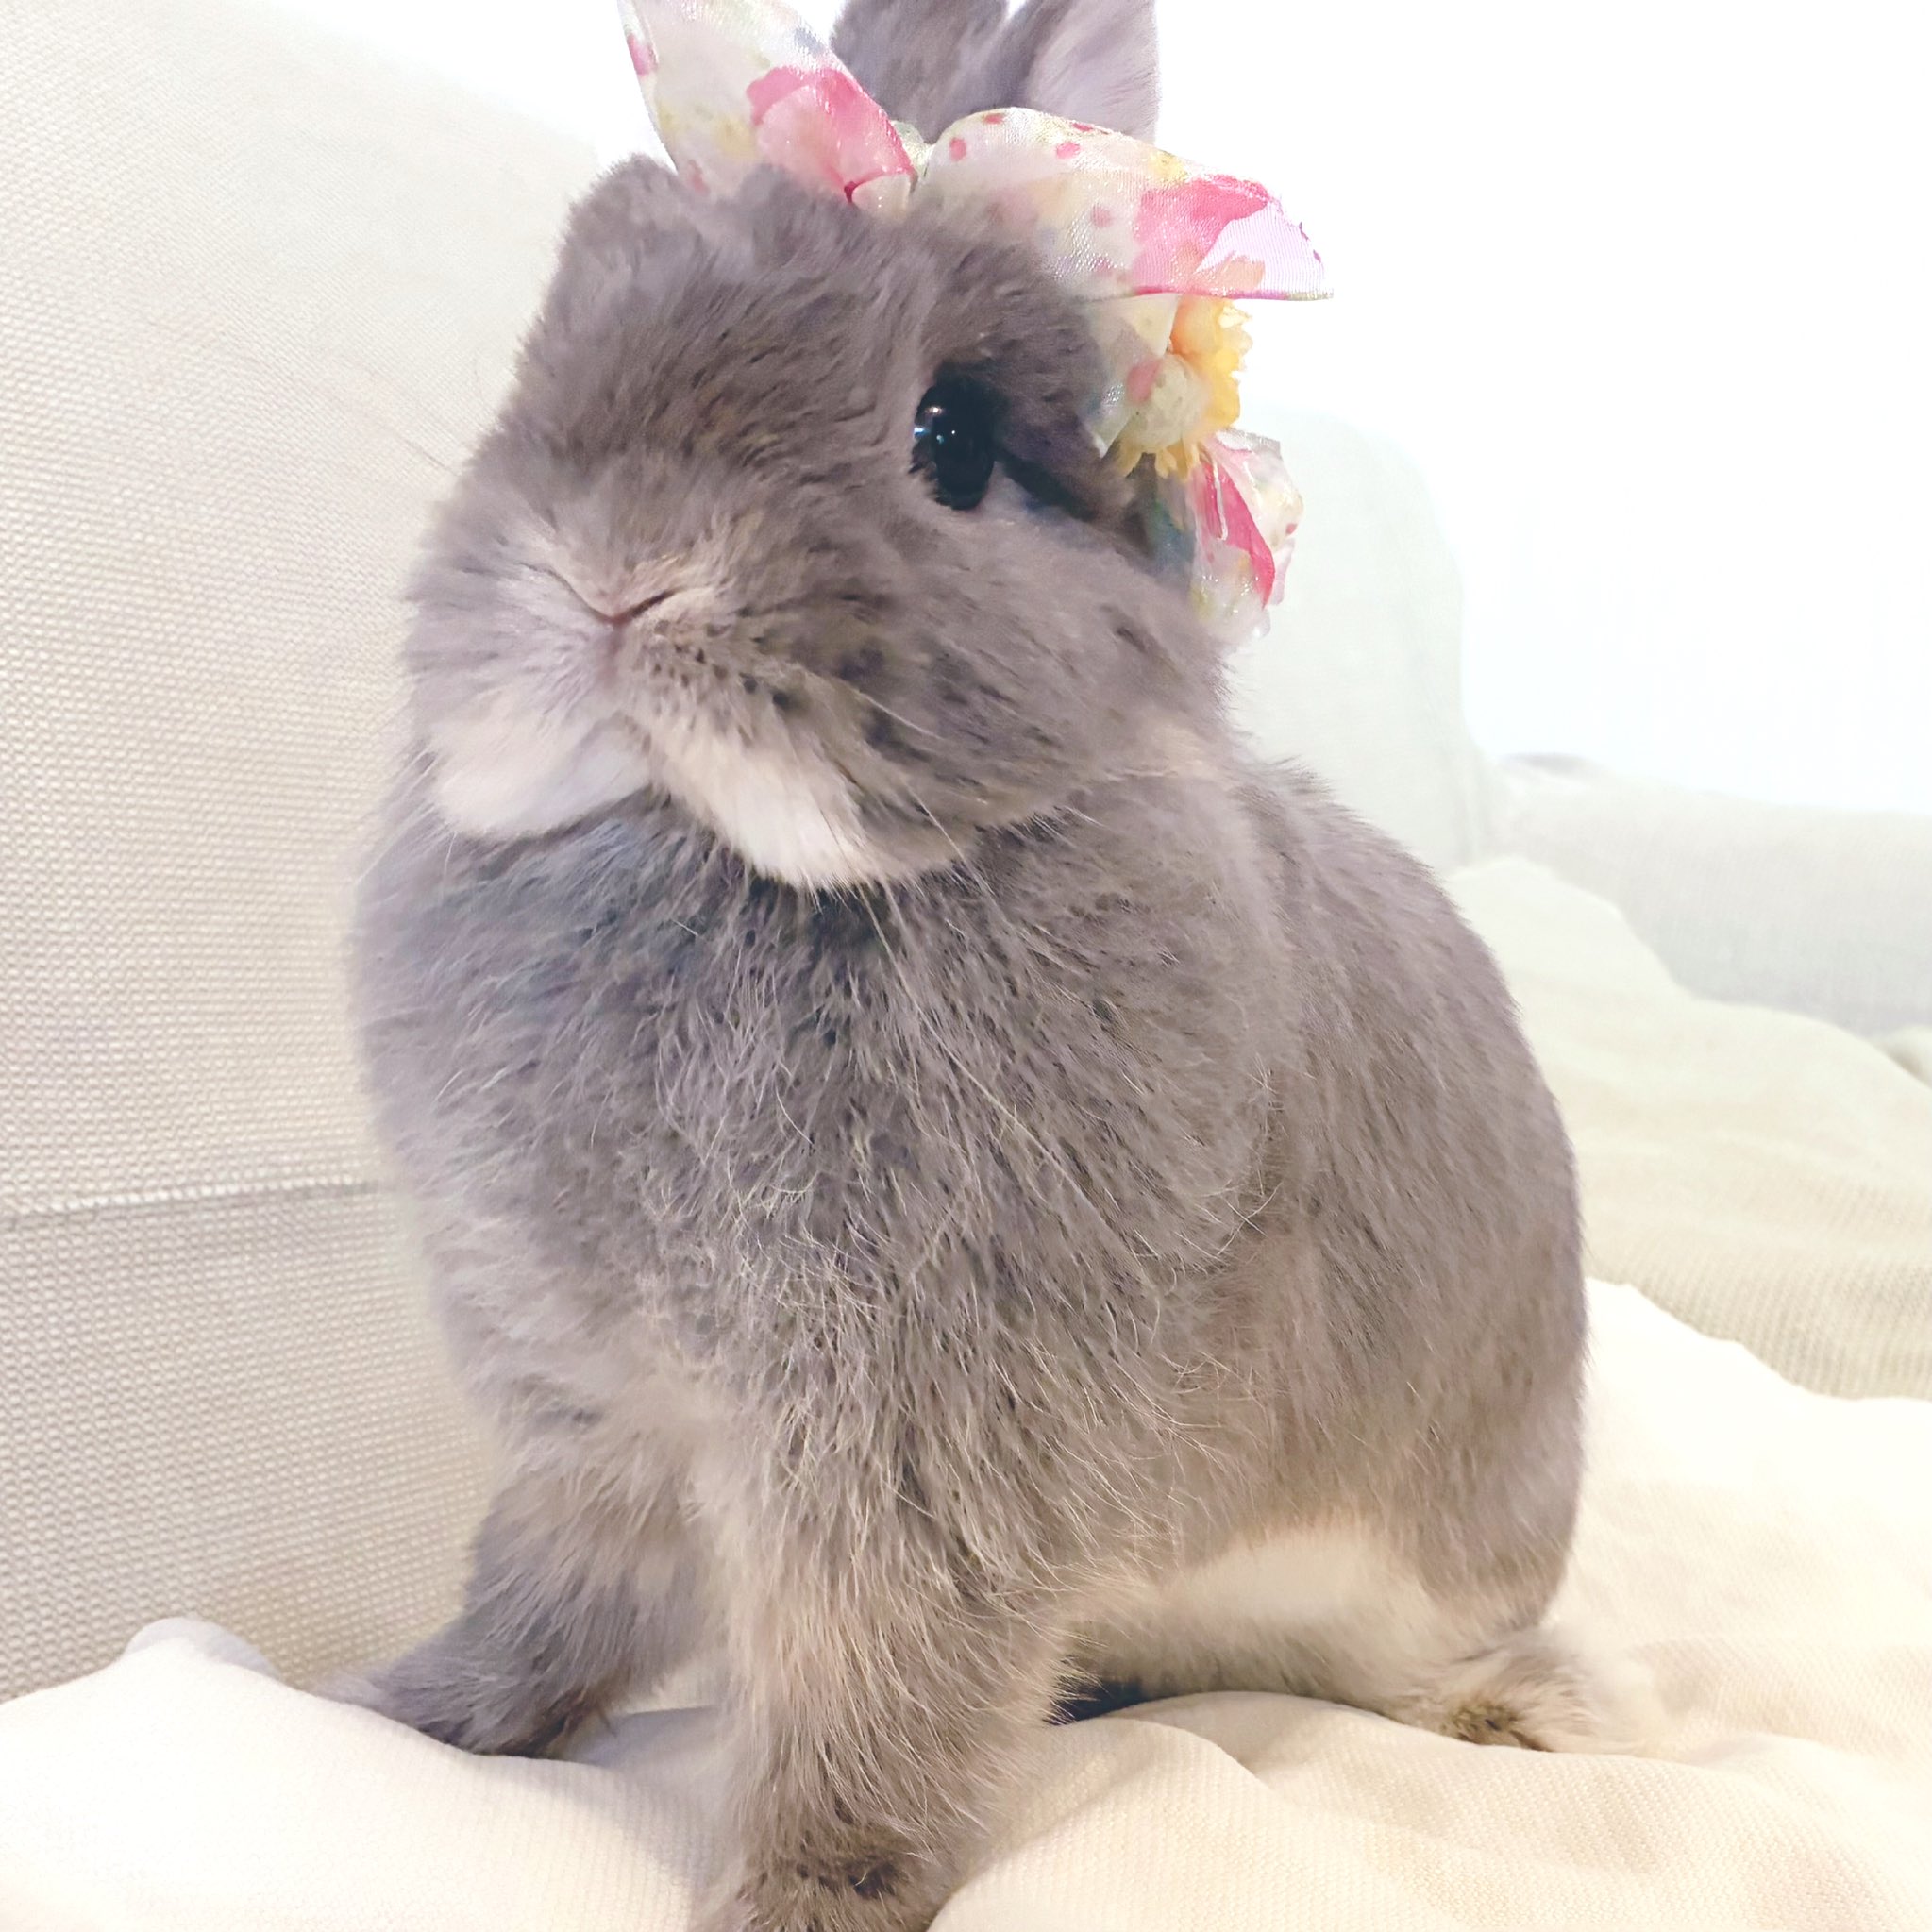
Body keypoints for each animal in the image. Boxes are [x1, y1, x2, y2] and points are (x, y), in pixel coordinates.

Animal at [341, 2, 1620, 1927]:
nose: (621, 573)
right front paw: (416, 1712)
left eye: (948, 438)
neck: (719, 857)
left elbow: (872, 1682)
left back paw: (1526, 1718)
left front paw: (806, 1888)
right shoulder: (603, 1416)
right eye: (553, 356)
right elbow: (551, 1590)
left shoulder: (920, 1445)